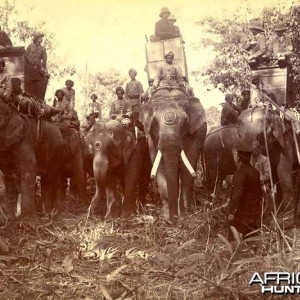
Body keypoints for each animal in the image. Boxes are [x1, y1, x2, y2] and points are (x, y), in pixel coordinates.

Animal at [140, 89, 206, 223]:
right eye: (154, 123)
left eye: (185, 122)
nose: (174, 220)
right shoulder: (152, 138)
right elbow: (159, 164)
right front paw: (167, 216)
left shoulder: (195, 133)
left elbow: (189, 161)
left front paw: (186, 213)